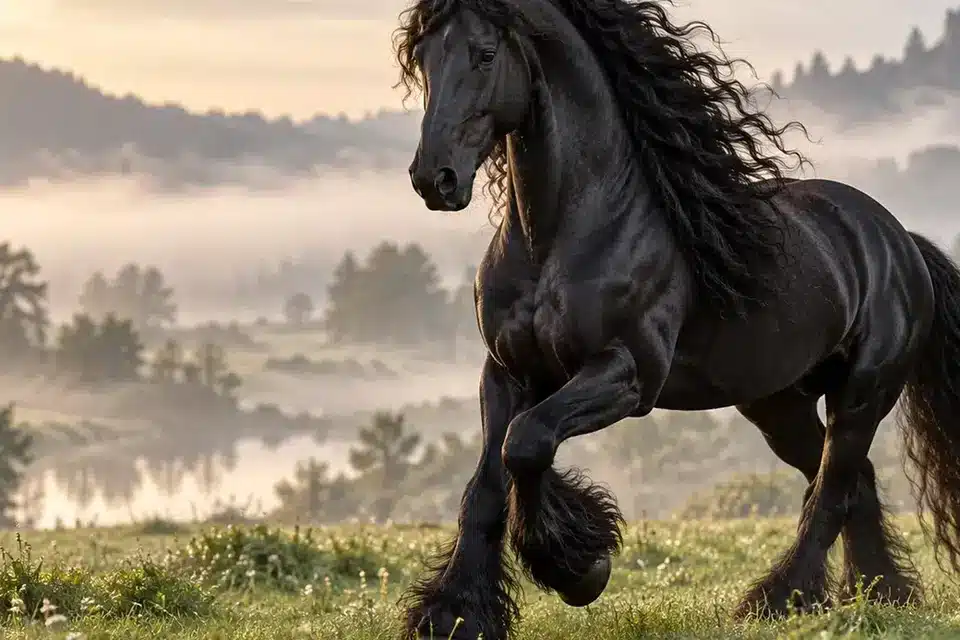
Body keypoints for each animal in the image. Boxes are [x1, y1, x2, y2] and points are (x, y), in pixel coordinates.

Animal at [392, 0, 960, 638]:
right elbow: (488, 483)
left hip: (863, 393)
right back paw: (879, 597)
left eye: (486, 54)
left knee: (833, 489)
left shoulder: (627, 374)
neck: (563, 235)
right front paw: (454, 613)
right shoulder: (507, 373)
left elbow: (528, 443)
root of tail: (901, 241)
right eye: (423, 56)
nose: (434, 178)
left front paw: (579, 569)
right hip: (779, 406)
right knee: (852, 483)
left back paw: (780, 600)